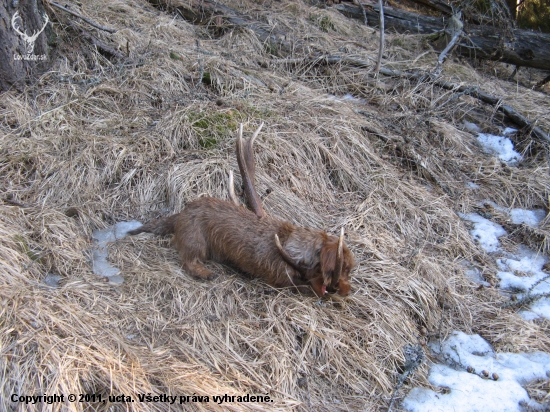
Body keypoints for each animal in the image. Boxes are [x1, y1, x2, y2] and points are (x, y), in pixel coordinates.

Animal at [128, 123, 358, 296]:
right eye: (345, 268)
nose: (348, 291)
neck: (289, 247)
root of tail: (179, 215)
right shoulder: (283, 277)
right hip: (195, 241)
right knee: (187, 258)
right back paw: (205, 272)